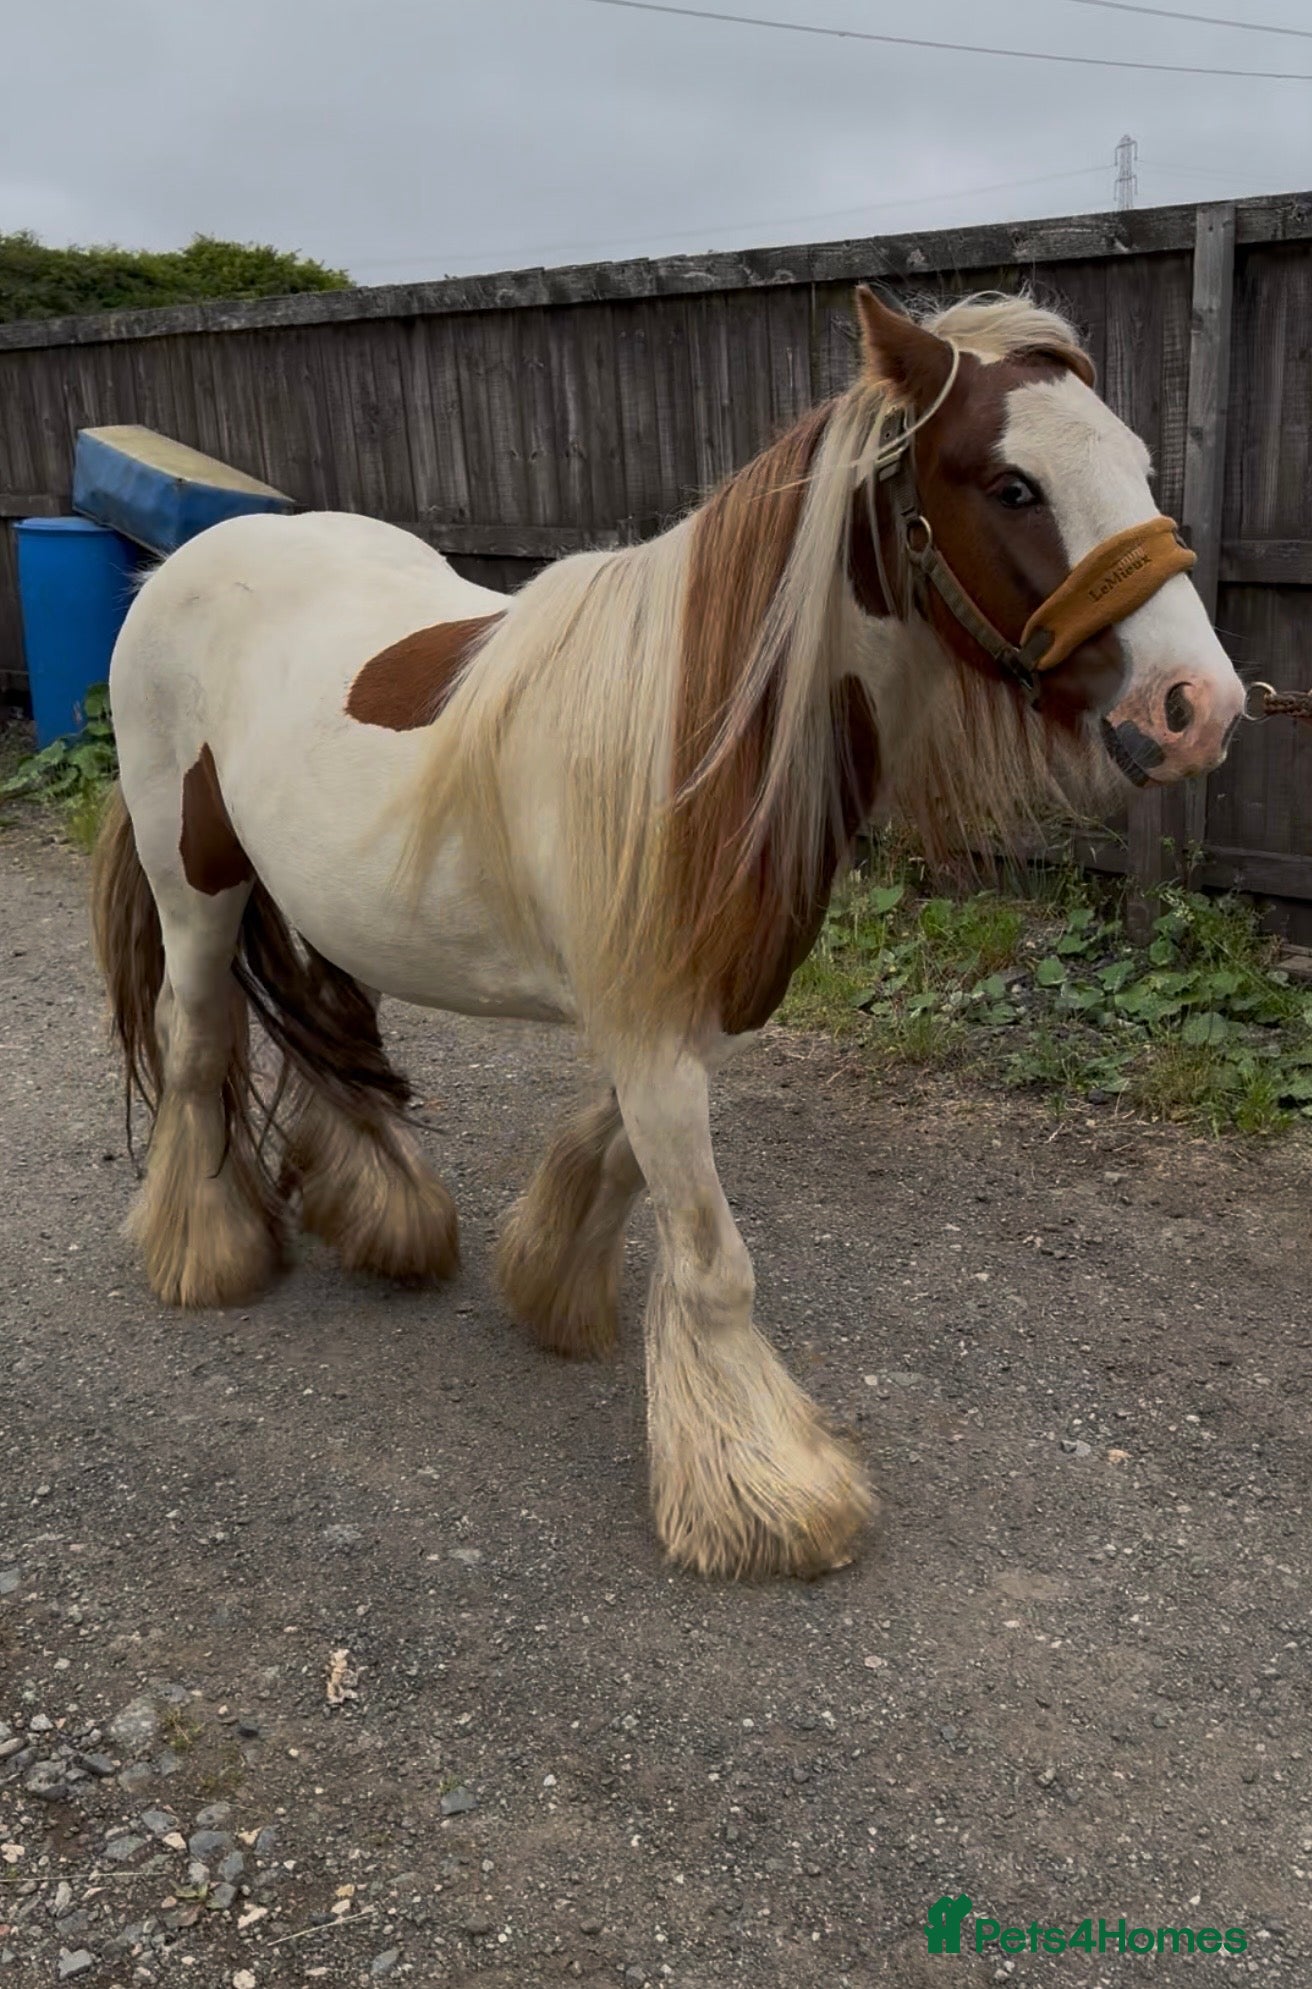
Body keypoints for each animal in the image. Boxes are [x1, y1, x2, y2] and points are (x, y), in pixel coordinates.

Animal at [91, 285, 1245, 1580]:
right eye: (1011, 485)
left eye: (1138, 465)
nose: (1198, 709)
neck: (695, 739)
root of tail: (187, 560)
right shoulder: (647, 1027)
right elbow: (713, 1258)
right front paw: (765, 1492)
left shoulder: (685, 1013)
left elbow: (614, 1159)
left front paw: (549, 1282)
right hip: (195, 886)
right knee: (199, 1049)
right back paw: (204, 1250)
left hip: (325, 898)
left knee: (334, 1035)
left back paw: (382, 1214)